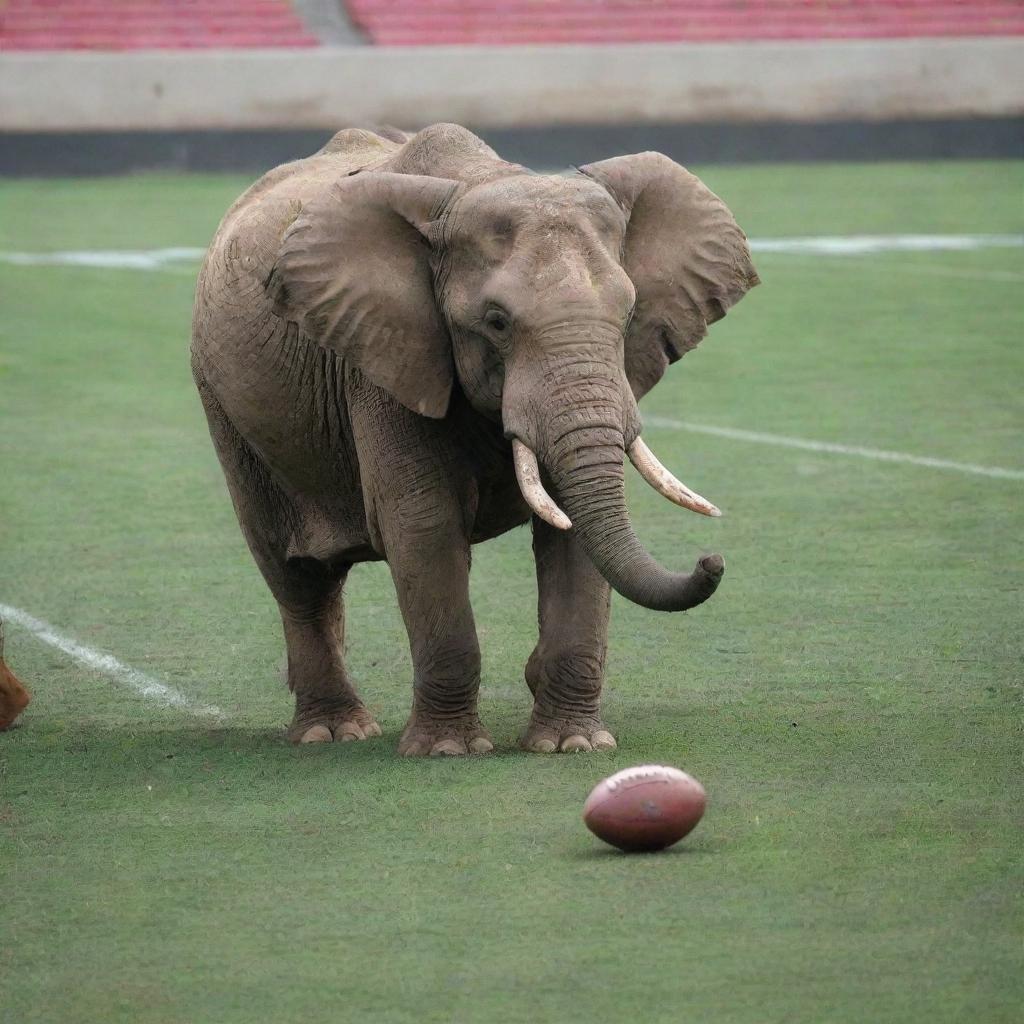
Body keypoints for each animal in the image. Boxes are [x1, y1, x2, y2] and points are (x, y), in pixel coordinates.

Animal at [192, 123, 757, 757]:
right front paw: (447, 751)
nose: (712, 558)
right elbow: (425, 526)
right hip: (226, 409)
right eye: (496, 322)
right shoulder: (384, 359)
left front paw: (573, 746)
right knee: (295, 576)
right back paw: (333, 732)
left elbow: (572, 532)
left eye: (630, 312)